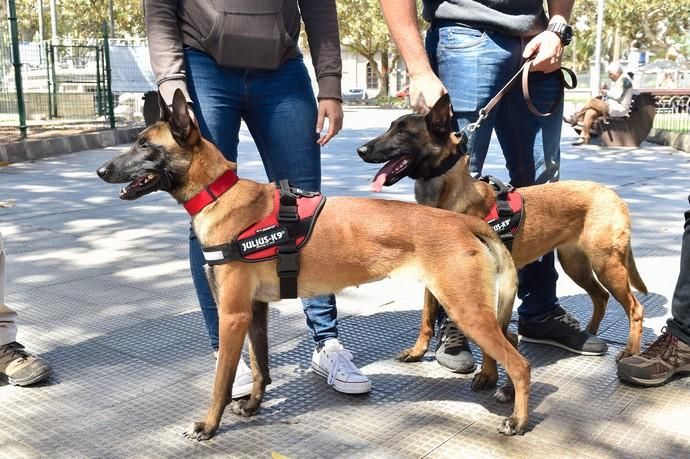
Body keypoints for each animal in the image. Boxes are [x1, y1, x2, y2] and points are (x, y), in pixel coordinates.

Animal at [95, 90, 528, 442]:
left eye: (145, 146)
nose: (101, 171)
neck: (223, 196)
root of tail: (462, 221)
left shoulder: (232, 316)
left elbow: (221, 382)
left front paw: (209, 424)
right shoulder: (254, 312)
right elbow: (261, 367)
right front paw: (252, 405)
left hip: (465, 309)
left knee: (520, 362)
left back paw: (517, 418)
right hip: (470, 307)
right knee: (508, 343)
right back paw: (496, 384)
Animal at [354, 94, 644, 362]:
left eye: (403, 132)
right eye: (391, 127)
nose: (361, 150)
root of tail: (612, 194)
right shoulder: (434, 275)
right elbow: (427, 316)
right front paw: (418, 351)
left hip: (606, 264)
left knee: (634, 307)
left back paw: (630, 351)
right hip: (577, 264)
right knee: (601, 297)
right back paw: (589, 335)